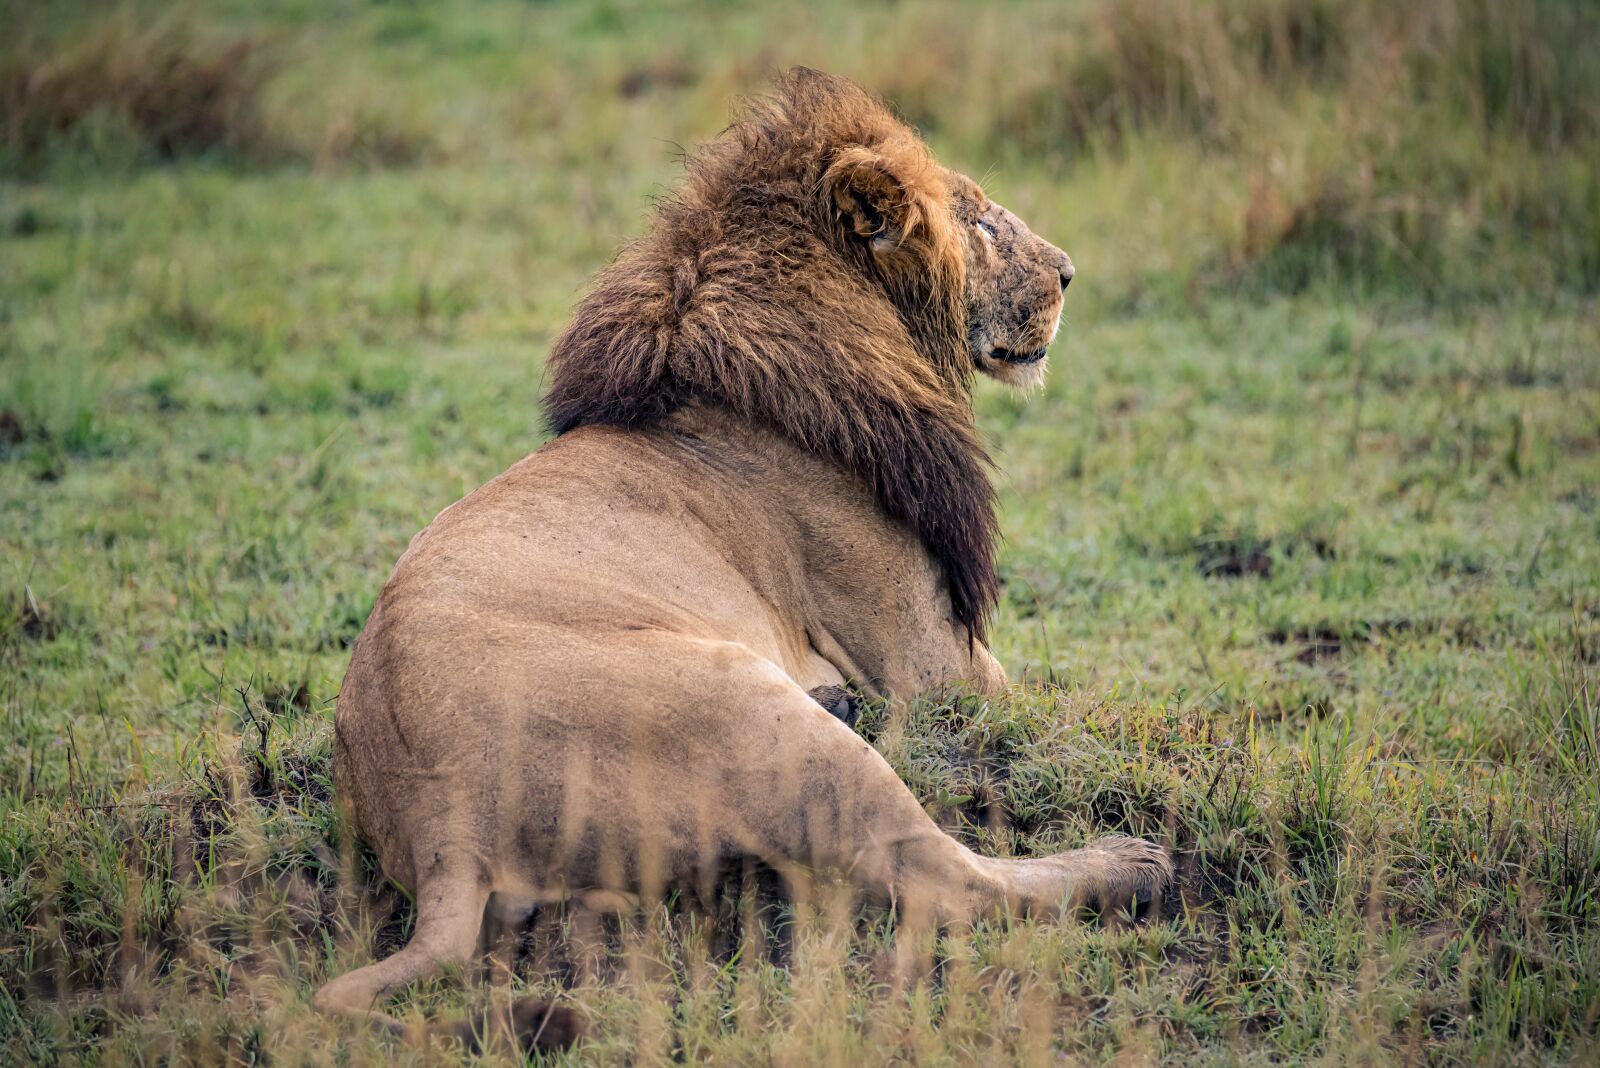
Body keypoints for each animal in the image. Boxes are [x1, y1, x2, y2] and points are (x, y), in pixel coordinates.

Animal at [314, 68, 1172, 1051]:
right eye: (980, 221)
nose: (1069, 272)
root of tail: (442, 826)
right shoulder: (929, 660)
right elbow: (1044, 698)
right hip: (750, 705)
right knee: (945, 880)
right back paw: (1132, 863)